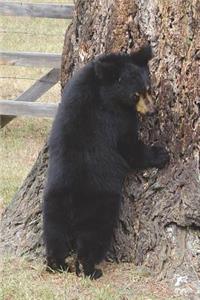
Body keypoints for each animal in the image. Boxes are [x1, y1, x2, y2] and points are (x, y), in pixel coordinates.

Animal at [43, 45, 170, 280]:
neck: (102, 86)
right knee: (93, 238)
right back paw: (91, 269)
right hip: (99, 206)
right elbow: (129, 147)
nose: (152, 111)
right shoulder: (117, 118)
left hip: (53, 203)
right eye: (135, 95)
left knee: (54, 234)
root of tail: (72, 202)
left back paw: (57, 264)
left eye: (148, 89)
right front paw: (160, 154)